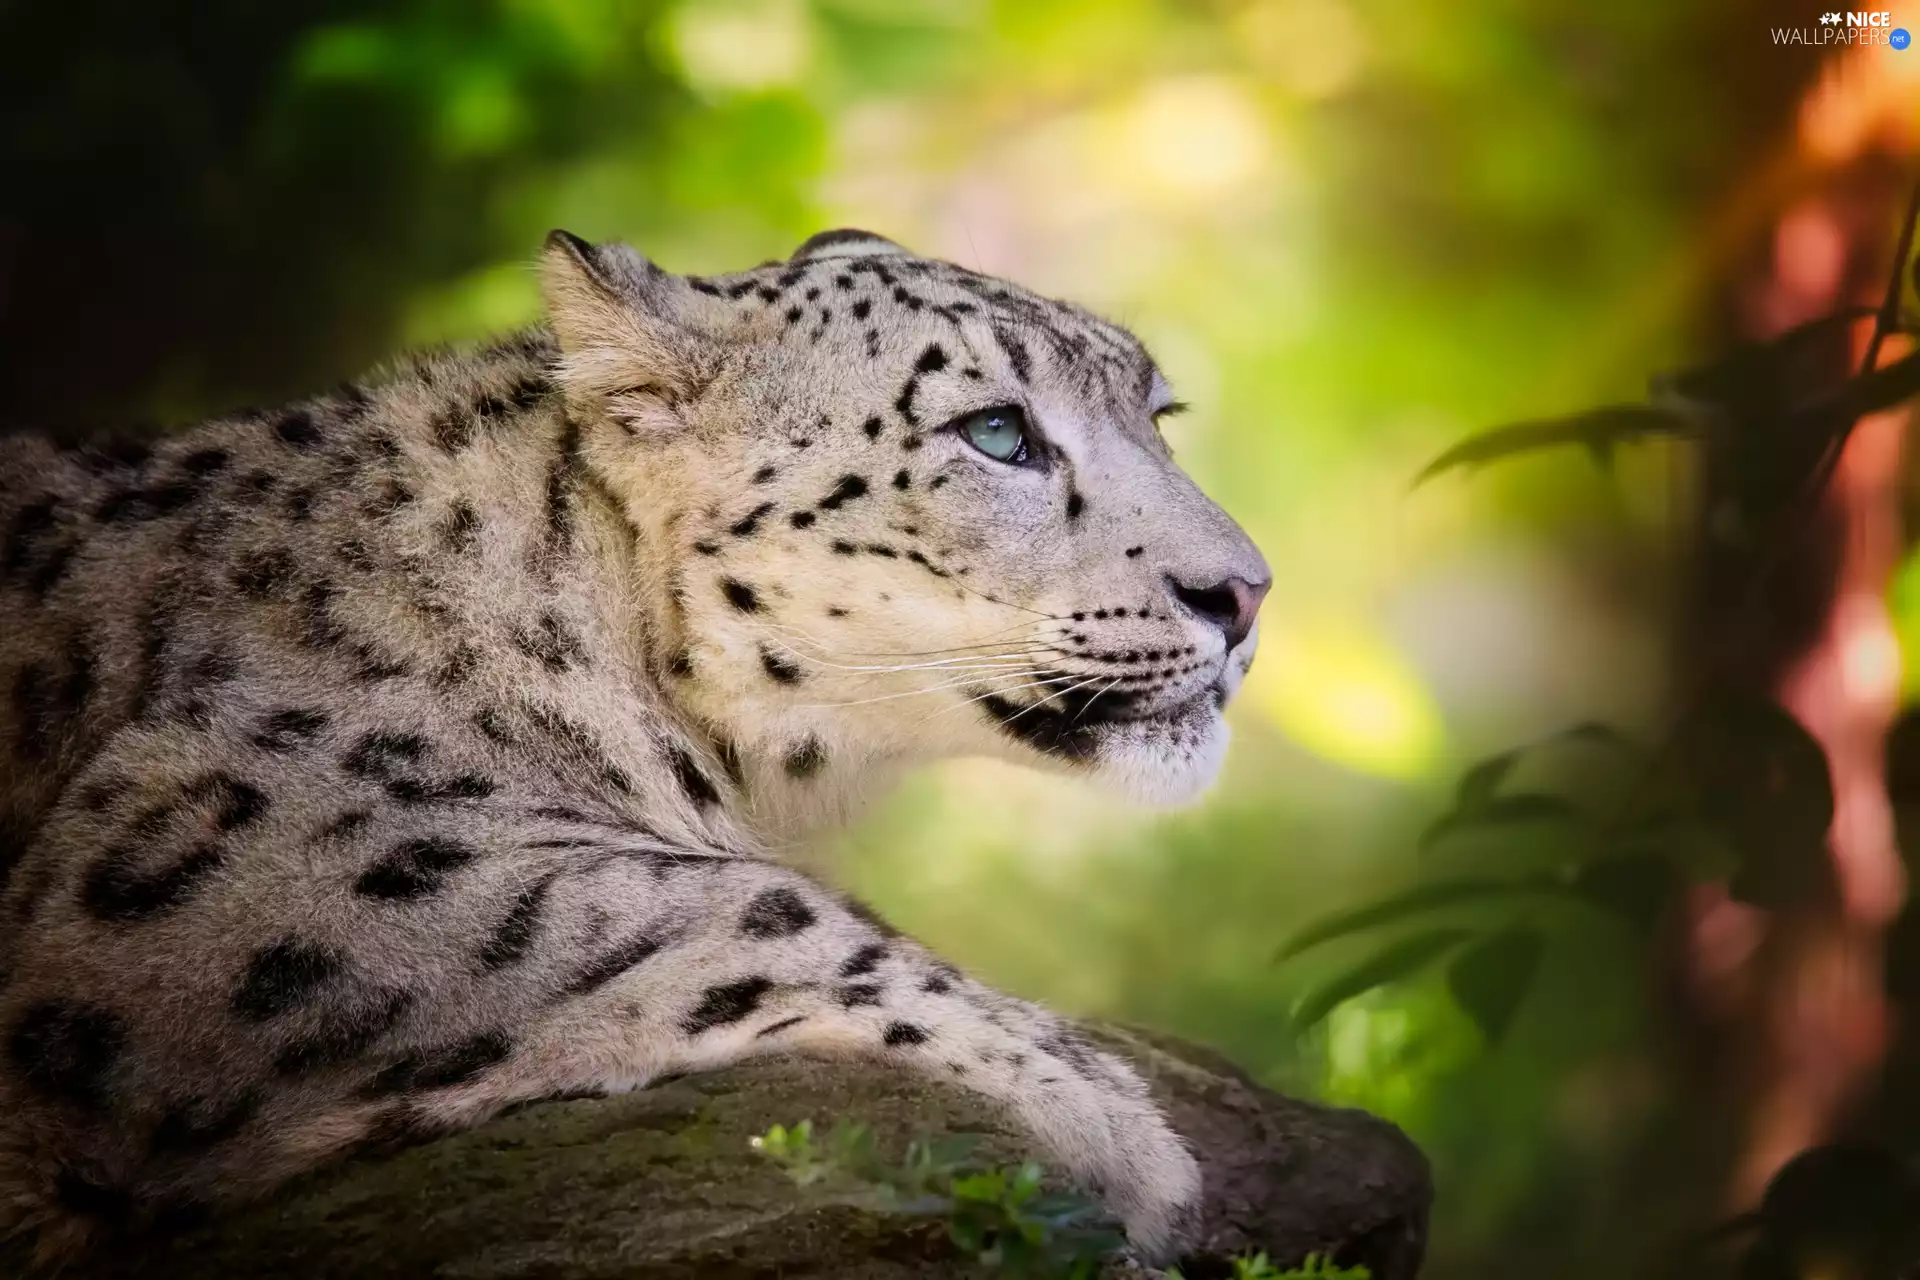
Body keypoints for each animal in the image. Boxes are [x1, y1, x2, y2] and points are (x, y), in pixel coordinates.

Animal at [0, 226, 1270, 1269]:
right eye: (997, 431)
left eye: (1159, 418)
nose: (1245, 592)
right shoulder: (260, 857)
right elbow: (731, 898)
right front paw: (1101, 1107)